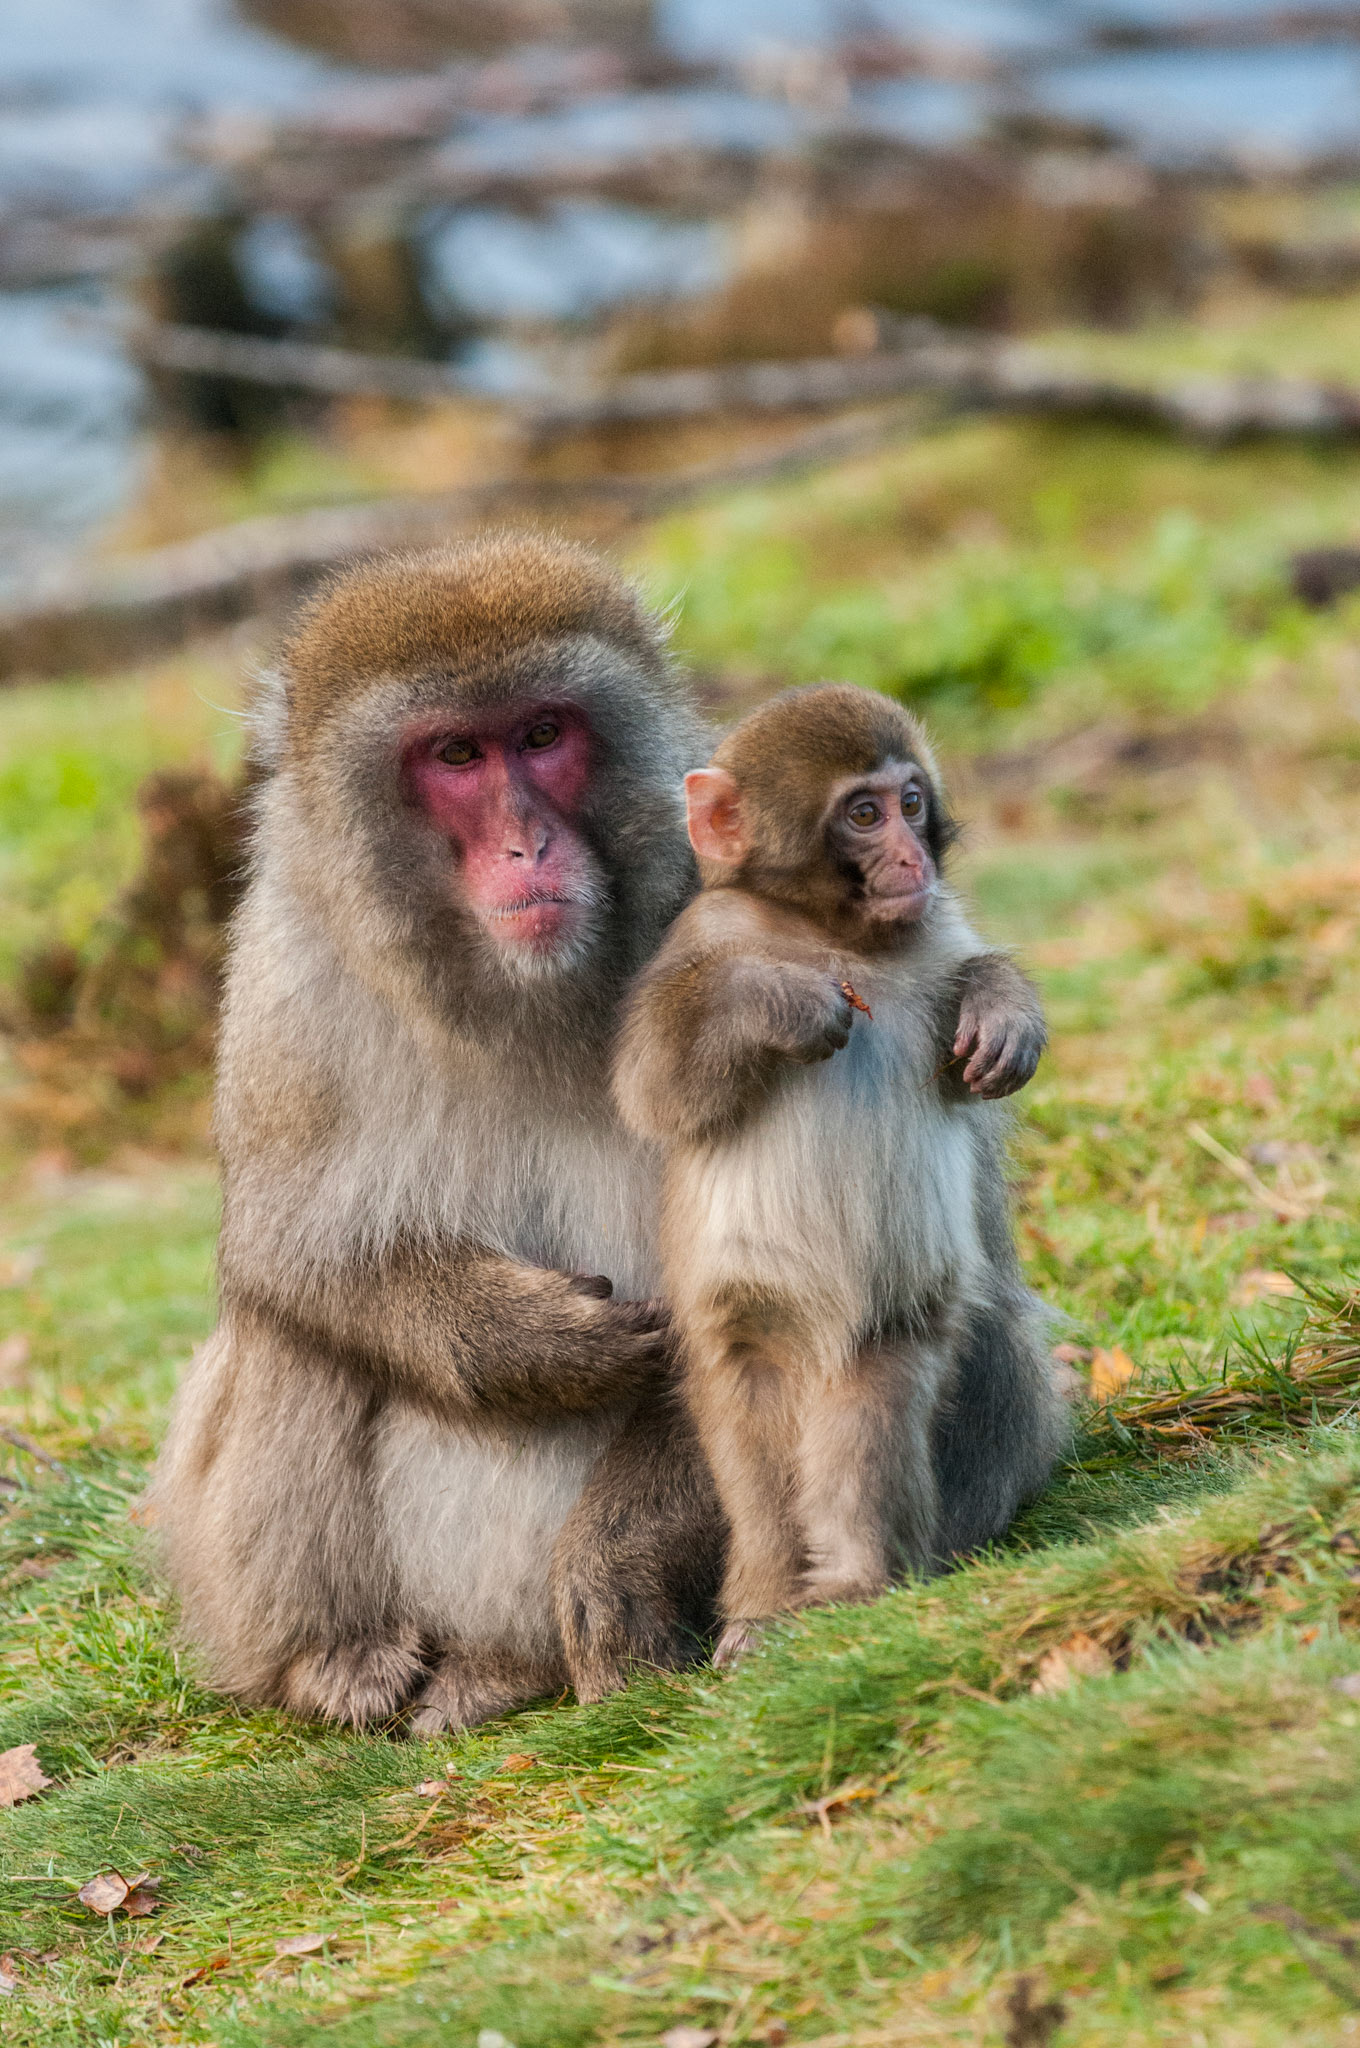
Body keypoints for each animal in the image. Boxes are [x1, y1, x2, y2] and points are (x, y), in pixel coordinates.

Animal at [611, 683, 1064, 1662]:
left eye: (911, 802)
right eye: (862, 815)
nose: (908, 855)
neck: (832, 934)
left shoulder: (938, 930)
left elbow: (968, 1006)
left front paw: (1002, 1008)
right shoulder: (697, 940)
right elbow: (656, 1087)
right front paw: (777, 1001)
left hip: (888, 1311)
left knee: (872, 1393)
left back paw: (855, 1581)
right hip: (741, 1312)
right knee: (746, 1412)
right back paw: (762, 1604)